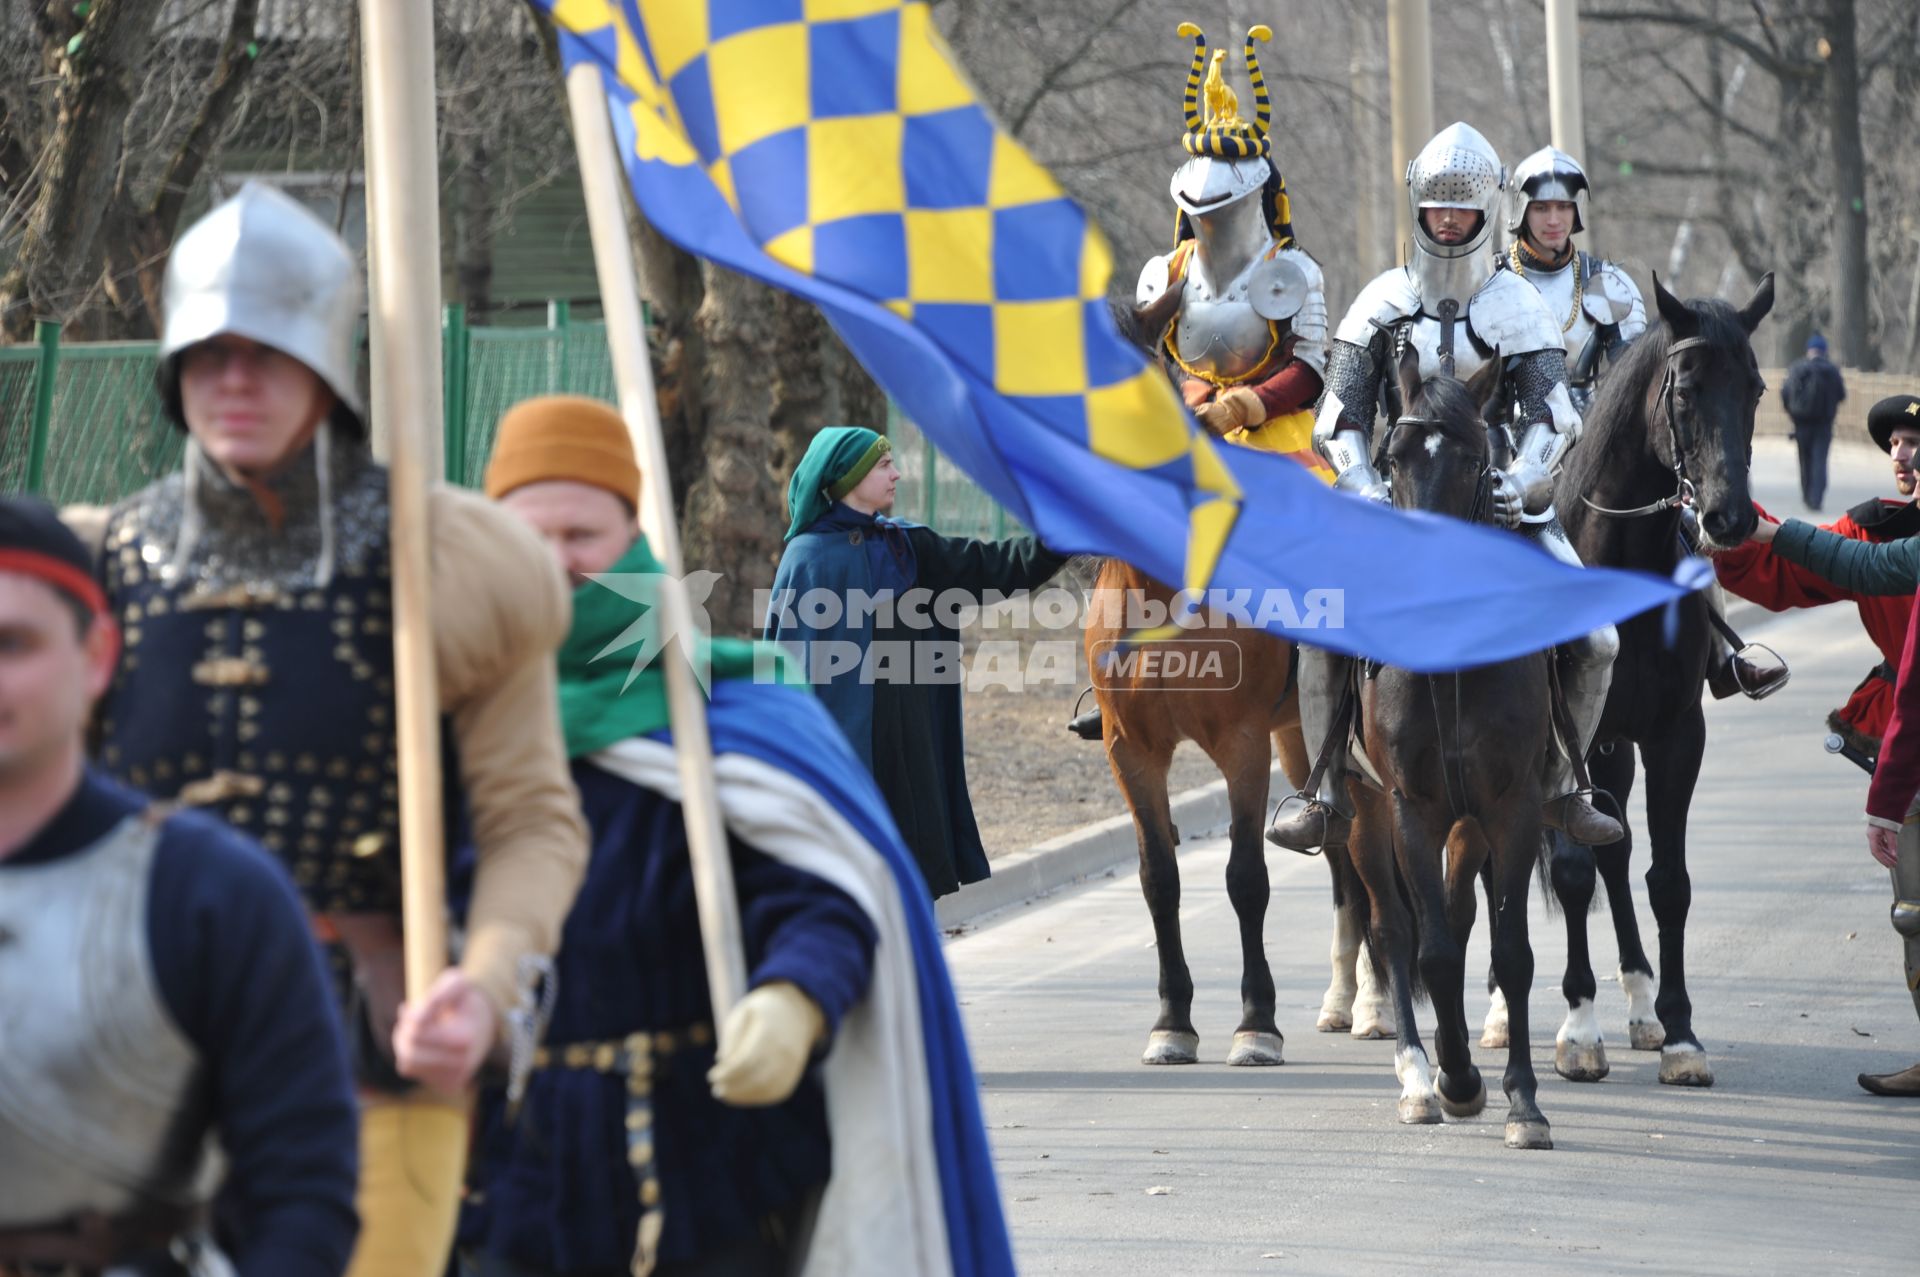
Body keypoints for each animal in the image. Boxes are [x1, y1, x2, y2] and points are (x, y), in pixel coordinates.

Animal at [1336, 353, 1559, 1152]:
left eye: (1471, 460)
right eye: (1394, 458)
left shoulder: (1512, 806)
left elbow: (1510, 951)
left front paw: (1522, 1100)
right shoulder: (1413, 806)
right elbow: (1424, 946)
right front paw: (1455, 1080)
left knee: (1460, 918)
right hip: (1364, 808)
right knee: (1395, 929)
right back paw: (1415, 1072)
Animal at [1536, 270, 1774, 1083]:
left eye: (1756, 389)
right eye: (1687, 390)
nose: (1731, 518)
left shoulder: (1673, 735)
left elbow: (1666, 880)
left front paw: (1678, 1033)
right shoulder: (1567, 740)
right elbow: (1572, 869)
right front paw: (1578, 1030)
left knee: (1616, 850)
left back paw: (1639, 1004)